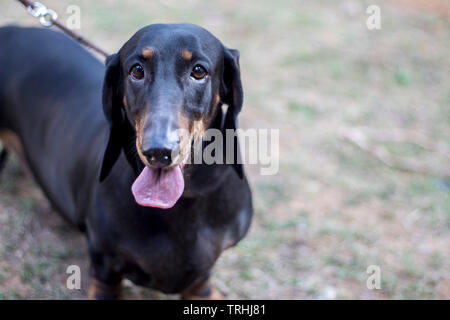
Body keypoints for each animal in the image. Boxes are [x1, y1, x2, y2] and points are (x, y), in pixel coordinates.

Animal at [0, 23, 253, 298]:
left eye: (198, 71)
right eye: (137, 70)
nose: (158, 151)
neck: (182, 202)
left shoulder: (201, 280)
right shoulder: (104, 267)